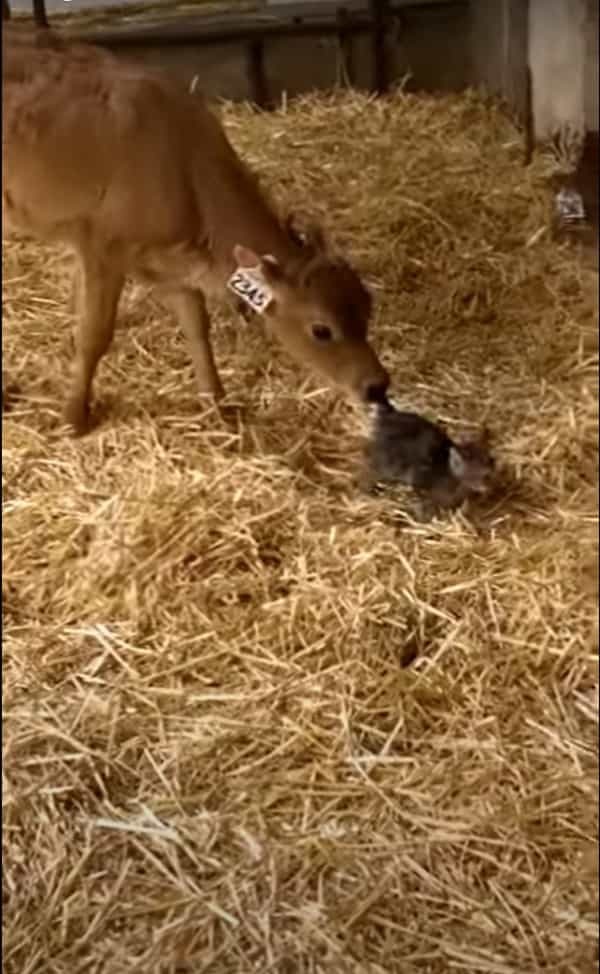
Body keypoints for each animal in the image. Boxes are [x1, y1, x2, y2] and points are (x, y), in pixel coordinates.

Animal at [2, 26, 390, 432]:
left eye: (367, 307)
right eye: (321, 330)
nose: (377, 386)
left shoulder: (170, 265)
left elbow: (197, 327)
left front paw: (218, 406)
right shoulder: (101, 248)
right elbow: (94, 335)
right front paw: (74, 417)